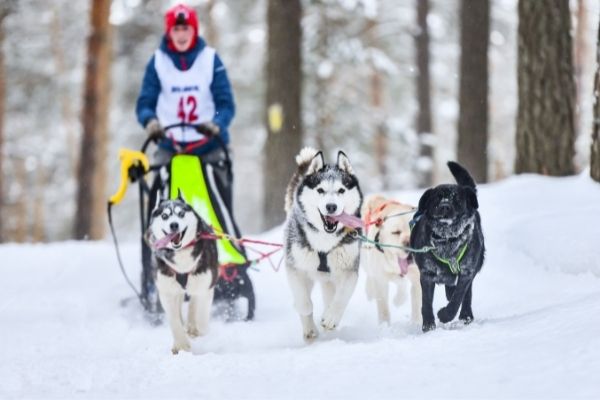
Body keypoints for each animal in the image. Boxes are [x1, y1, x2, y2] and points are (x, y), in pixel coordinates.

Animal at [146, 194, 219, 354]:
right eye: (165, 216)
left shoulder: (206, 286)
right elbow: (174, 321)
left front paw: (195, 330)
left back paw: (192, 326)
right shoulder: (167, 292)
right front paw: (181, 345)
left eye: (181, 214)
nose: (174, 225)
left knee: (194, 304)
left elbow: (201, 317)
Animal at [284, 147, 364, 340]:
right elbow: (303, 302)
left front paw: (330, 318)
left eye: (341, 190)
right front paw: (308, 320)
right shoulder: (295, 268)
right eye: (320, 190)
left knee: (330, 297)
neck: (325, 242)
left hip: (329, 280)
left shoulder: (349, 271)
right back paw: (310, 329)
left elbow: (341, 298)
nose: (331, 207)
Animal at [360, 195, 422, 326]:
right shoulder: (380, 280)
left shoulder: (417, 278)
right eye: (396, 232)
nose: (410, 244)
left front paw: (416, 323)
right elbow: (383, 307)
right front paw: (384, 325)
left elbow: (417, 302)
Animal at [410, 161, 486, 332]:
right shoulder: (427, 274)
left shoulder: (467, 271)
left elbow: (458, 298)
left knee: (465, 295)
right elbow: (426, 302)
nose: (445, 206)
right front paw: (428, 324)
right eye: (437, 198)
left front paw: (445, 315)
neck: (447, 240)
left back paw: (466, 315)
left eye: (456, 198)